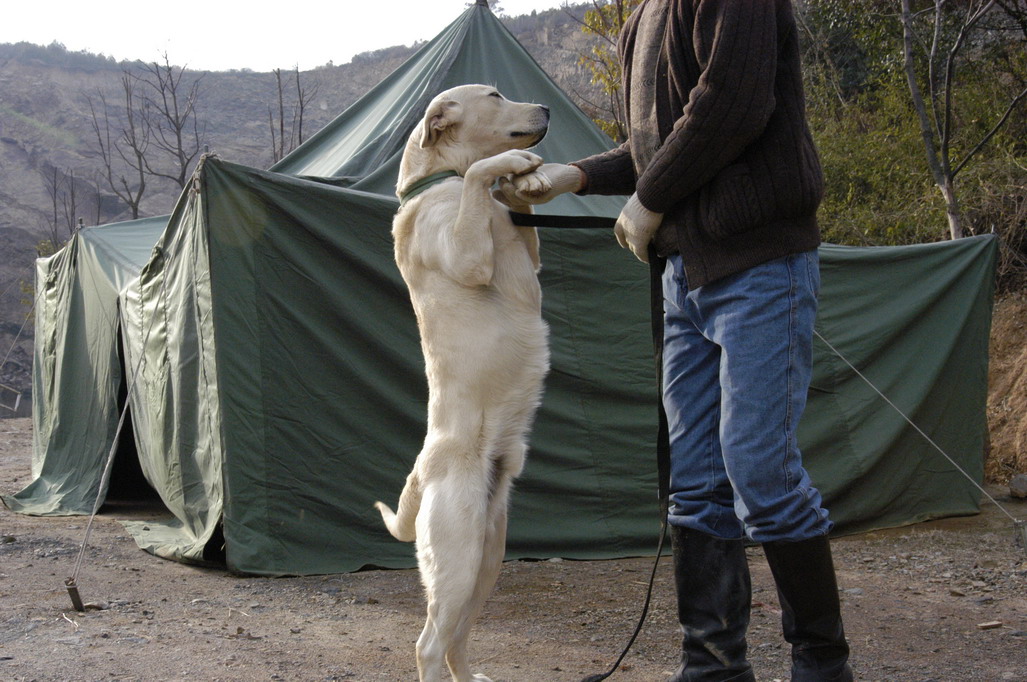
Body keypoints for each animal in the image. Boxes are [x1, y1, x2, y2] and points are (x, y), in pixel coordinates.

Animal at [375, 85, 554, 682]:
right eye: (495, 94)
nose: (546, 109)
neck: (435, 182)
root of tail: (423, 467)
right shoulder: (465, 255)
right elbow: (479, 173)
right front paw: (509, 165)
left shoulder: (529, 253)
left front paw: (530, 180)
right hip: (457, 560)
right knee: (428, 644)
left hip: (488, 556)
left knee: (456, 638)